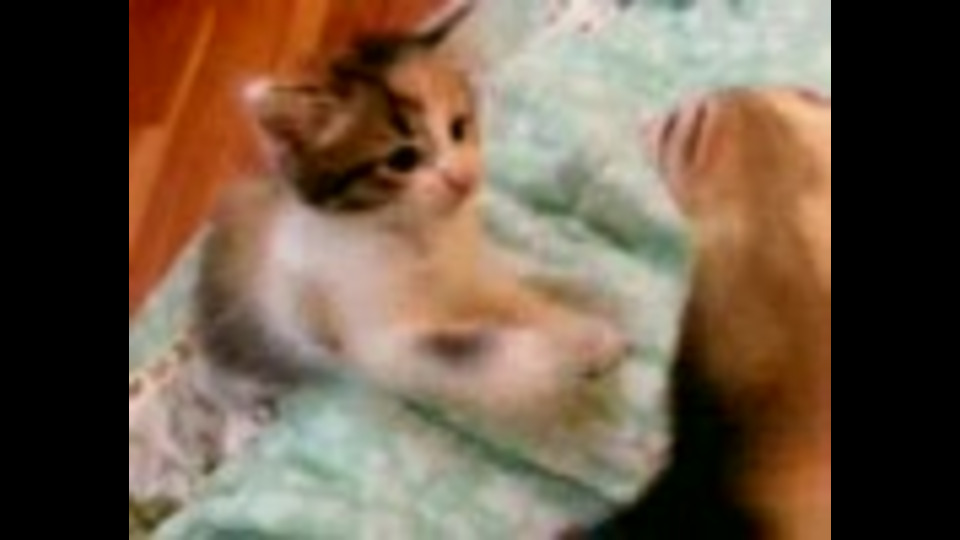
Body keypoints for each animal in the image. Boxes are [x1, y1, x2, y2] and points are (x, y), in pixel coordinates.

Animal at [195, 1, 631, 440]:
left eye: (458, 127)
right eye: (402, 159)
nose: (462, 177)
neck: (417, 235)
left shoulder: (466, 274)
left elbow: (512, 298)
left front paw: (585, 335)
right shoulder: (377, 345)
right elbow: (466, 353)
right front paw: (547, 361)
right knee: (222, 384)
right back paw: (242, 415)